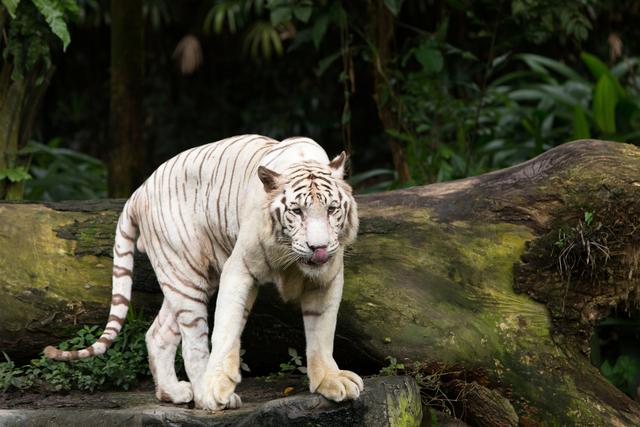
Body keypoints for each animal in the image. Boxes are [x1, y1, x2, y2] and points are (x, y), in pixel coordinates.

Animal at [43, 136, 362, 412]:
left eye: (332, 209)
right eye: (296, 211)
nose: (318, 248)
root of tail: (139, 191)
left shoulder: (328, 277)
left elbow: (322, 332)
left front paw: (330, 381)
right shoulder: (239, 268)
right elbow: (226, 329)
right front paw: (218, 385)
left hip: (188, 278)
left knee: (157, 333)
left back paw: (173, 392)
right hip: (186, 274)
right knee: (193, 343)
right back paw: (205, 395)